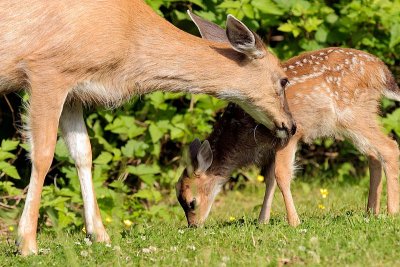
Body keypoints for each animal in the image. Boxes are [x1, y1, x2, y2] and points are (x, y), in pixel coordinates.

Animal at [0, 1, 296, 255]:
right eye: (284, 80)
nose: (291, 126)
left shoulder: (75, 92)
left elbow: (83, 154)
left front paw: (100, 235)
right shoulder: (48, 70)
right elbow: (43, 155)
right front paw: (26, 243)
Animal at [178, 47, 400, 227]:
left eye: (191, 202)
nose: (193, 226)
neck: (241, 136)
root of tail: (381, 70)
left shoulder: (289, 136)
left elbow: (281, 175)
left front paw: (294, 221)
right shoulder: (271, 148)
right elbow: (269, 180)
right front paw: (262, 221)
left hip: (352, 113)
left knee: (389, 147)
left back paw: (391, 212)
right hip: (357, 118)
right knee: (373, 155)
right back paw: (371, 212)